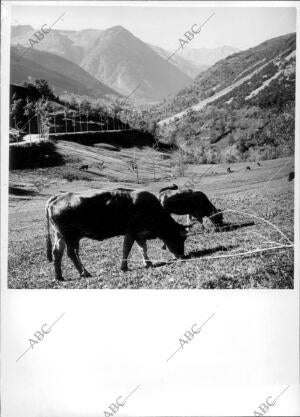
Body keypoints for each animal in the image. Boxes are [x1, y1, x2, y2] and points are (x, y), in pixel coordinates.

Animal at [45, 188, 189, 280]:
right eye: (181, 238)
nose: (182, 256)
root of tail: (58, 197)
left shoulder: (139, 234)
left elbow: (143, 248)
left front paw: (148, 263)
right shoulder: (131, 232)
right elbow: (127, 249)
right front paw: (124, 267)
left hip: (60, 236)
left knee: (57, 252)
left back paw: (59, 276)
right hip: (70, 236)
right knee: (71, 253)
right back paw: (84, 272)